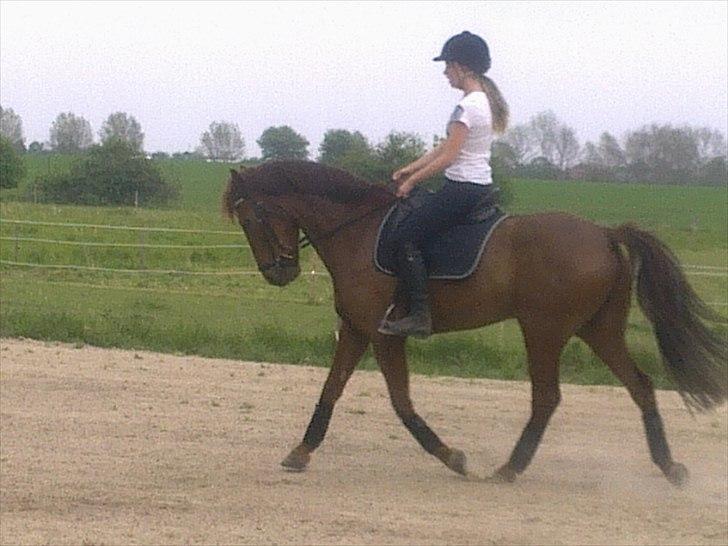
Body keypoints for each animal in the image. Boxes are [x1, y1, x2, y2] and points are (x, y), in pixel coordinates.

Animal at [222, 159, 727, 487]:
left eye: (251, 216)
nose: (277, 273)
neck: (357, 230)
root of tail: (604, 233)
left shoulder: (384, 335)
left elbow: (401, 403)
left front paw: (453, 458)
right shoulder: (356, 329)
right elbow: (330, 389)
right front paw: (300, 451)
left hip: (544, 330)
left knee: (547, 398)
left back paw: (510, 468)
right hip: (598, 330)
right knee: (640, 386)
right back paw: (669, 467)